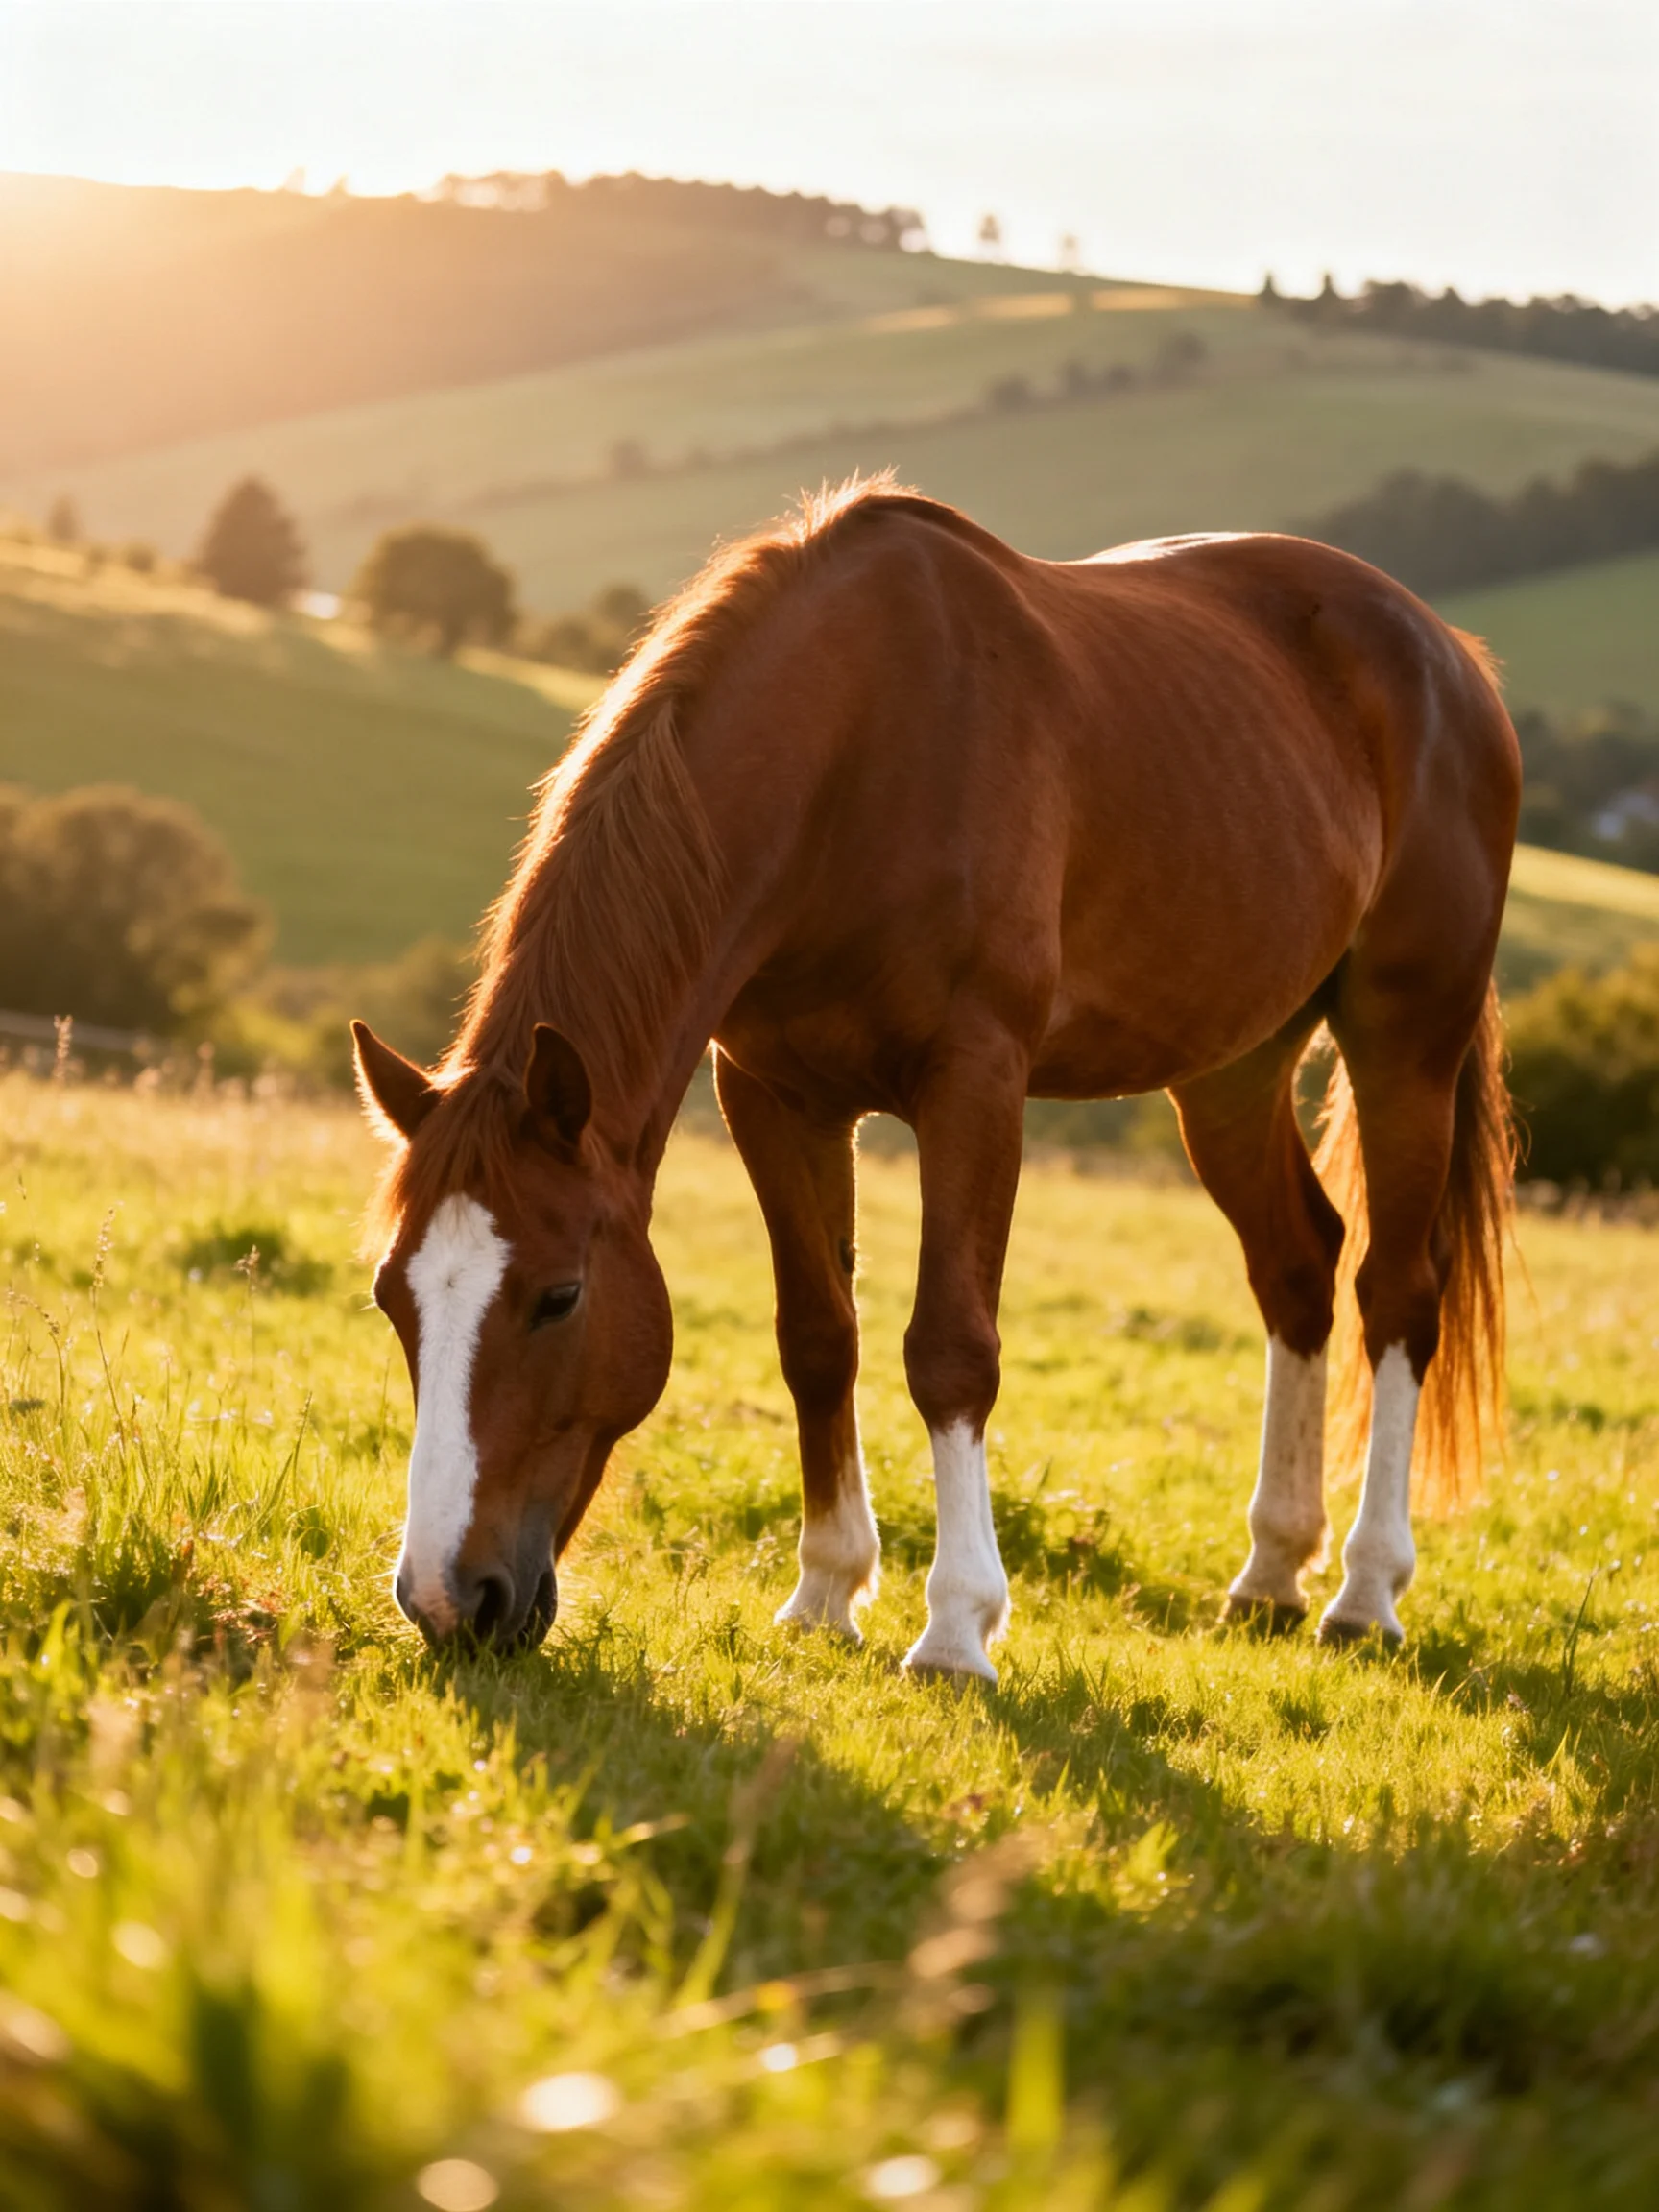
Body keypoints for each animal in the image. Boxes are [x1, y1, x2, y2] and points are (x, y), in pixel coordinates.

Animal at [353, 477, 1519, 1678]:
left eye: (560, 1297)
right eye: (394, 1298)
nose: (449, 1600)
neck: (853, 755)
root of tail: (1450, 655)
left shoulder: (976, 1082)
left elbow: (951, 1349)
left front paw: (958, 1625)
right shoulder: (775, 1097)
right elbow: (818, 1337)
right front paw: (826, 1590)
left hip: (1405, 1042)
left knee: (1395, 1292)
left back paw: (1364, 1591)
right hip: (1234, 1073)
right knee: (1298, 1267)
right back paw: (1272, 1571)